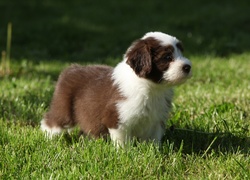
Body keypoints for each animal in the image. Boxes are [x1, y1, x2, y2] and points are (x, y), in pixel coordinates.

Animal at [40, 31, 191, 147]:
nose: (188, 67)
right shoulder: (117, 117)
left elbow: (154, 139)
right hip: (64, 107)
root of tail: (71, 69)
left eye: (182, 53)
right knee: (52, 121)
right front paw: (125, 153)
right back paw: (49, 138)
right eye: (167, 57)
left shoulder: (157, 119)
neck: (151, 87)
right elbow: (122, 141)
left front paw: (154, 151)